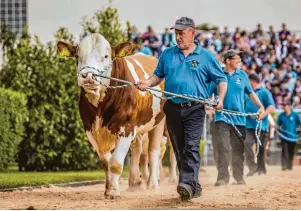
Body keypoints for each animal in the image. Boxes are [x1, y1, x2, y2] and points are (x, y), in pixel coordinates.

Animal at [56, 33, 166, 199]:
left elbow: (115, 162)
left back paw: (152, 184)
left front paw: (113, 191)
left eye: (106, 56)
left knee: (153, 151)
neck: (100, 108)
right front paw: (108, 188)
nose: (87, 75)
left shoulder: (126, 128)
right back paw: (134, 182)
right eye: (77, 55)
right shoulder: (90, 129)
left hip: (158, 121)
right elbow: (105, 162)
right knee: (138, 148)